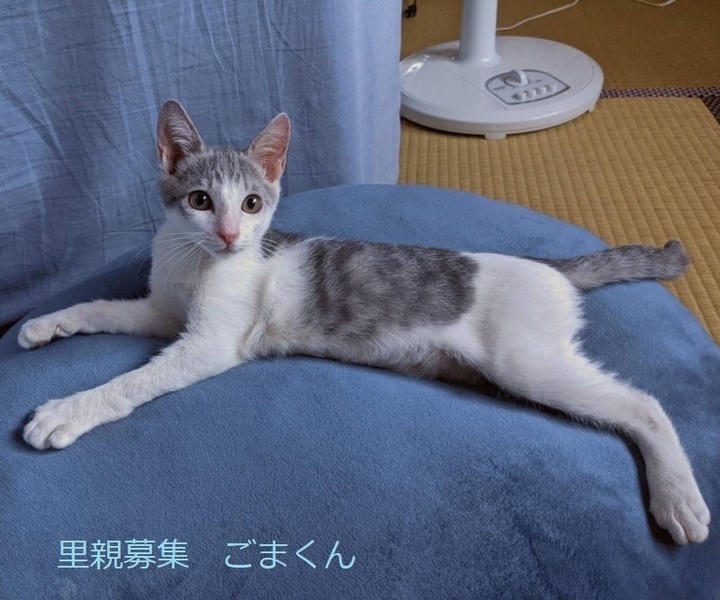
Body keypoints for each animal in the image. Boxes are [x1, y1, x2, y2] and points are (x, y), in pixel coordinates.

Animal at [19, 100, 710, 545]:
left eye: (252, 203)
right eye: (199, 200)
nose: (231, 234)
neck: (195, 262)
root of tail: (548, 267)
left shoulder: (210, 341)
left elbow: (133, 382)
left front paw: (67, 410)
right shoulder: (163, 312)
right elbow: (102, 307)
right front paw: (45, 322)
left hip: (526, 362)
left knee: (645, 405)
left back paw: (678, 498)